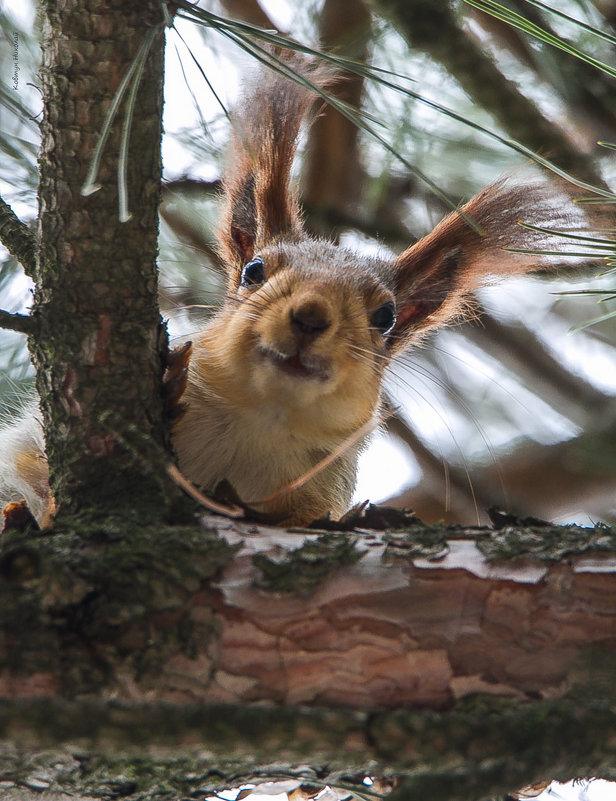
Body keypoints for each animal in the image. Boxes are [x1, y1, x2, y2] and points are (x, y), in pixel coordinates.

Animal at [0, 51, 596, 524]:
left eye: (386, 317)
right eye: (253, 271)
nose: (309, 316)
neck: (258, 425)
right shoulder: (27, 445)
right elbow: (27, 472)